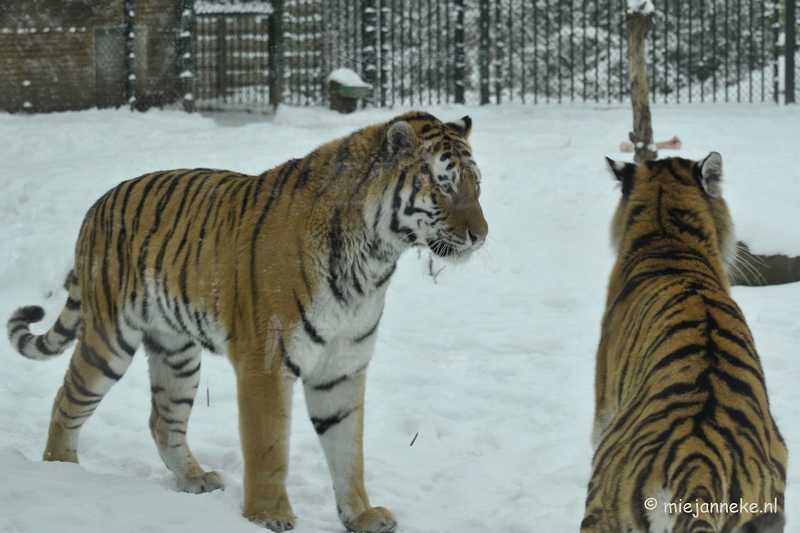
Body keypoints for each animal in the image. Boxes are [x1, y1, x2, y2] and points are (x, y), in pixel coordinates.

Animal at [6, 110, 488, 528]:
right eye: (444, 186)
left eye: (477, 186)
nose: (481, 236)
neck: (374, 259)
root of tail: (97, 205)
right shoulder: (266, 361)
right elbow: (268, 446)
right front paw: (268, 514)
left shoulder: (343, 367)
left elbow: (348, 451)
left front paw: (362, 516)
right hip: (109, 339)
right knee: (66, 399)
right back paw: (63, 472)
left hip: (177, 352)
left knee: (163, 419)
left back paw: (195, 478)